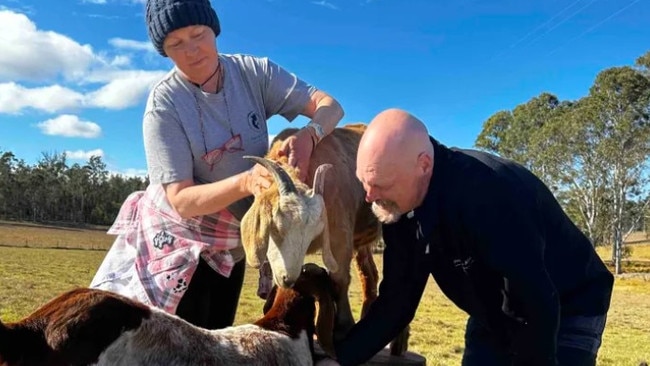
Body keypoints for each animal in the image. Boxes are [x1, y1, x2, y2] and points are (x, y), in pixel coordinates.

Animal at [240, 123, 408, 354]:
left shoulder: (339, 232)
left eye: (314, 231)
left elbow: (339, 278)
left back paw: (399, 341)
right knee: (369, 274)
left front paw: (342, 327)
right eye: (277, 228)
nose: (288, 279)